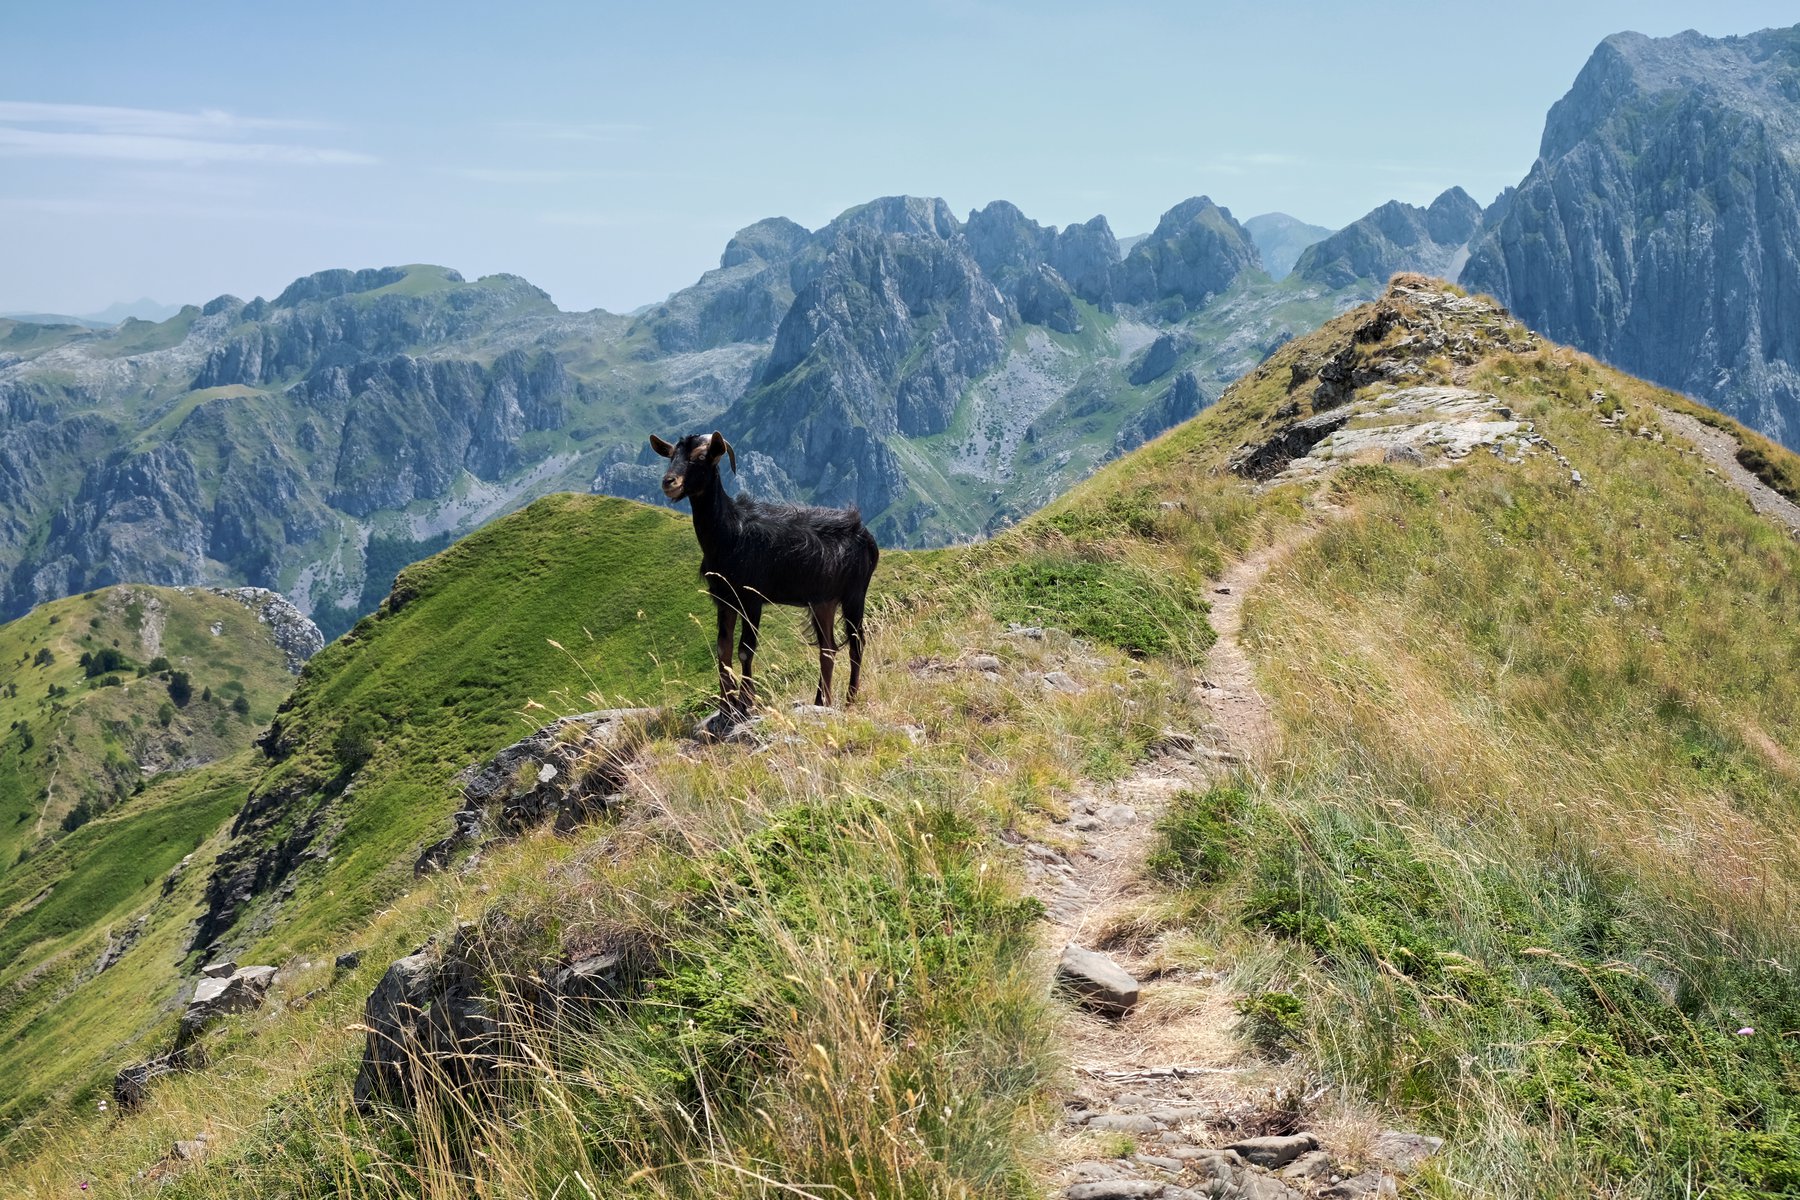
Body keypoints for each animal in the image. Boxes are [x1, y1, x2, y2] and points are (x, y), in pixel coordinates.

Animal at [655, 431, 878, 712]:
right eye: (672, 455)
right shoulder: (724, 599)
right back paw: (820, 701)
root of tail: (866, 535)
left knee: (856, 643)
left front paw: (746, 702)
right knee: (828, 648)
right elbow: (723, 648)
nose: (669, 482)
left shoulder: (752, 598)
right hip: (822, 602)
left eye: (701, 456)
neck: (729, 533)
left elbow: (745, 650)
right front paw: (726, 704)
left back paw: (850, 699)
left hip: (854, 595)